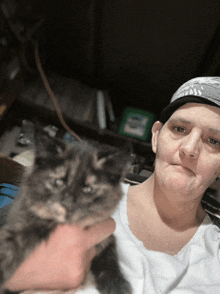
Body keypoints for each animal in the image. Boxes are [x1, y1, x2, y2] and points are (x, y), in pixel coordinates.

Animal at [0, 129, 131, 294]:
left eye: (88, 189)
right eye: (58, 182)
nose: (68, 205)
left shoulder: (106, 236)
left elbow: (110, 256)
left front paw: (116, 285)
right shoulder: (23, 223)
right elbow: (9, 247)